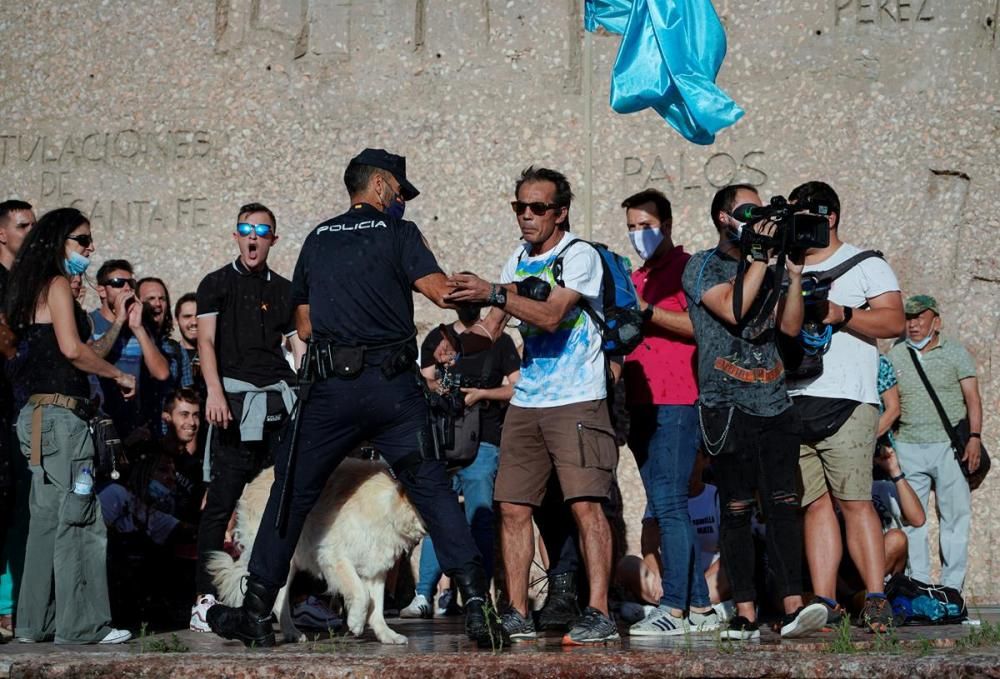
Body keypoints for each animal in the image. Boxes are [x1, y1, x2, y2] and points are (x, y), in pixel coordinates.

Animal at [207, 460, 426, 644]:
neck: (389, 505)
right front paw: (356, 622)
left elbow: (377, 606)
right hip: (283, 560)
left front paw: (387, 634)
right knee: (277, 599)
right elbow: (361, 593)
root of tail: (253, 481)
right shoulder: (333, 556)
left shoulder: (375, 568)